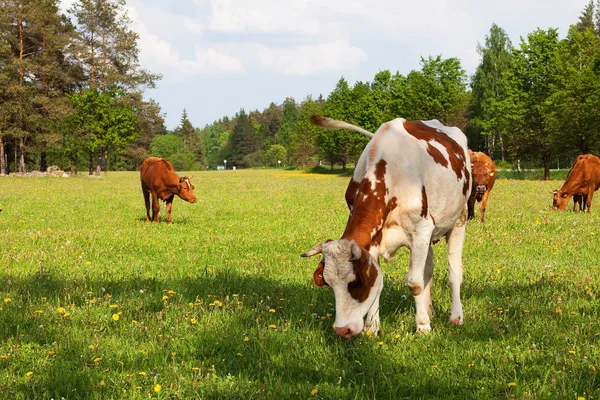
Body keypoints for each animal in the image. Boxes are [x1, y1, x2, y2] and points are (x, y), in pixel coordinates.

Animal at [302, 115, 472, 338]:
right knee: (428, 270)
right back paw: (429, 310)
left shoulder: (421, 229)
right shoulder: (373, 240)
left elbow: (414, 282)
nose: (342, 330)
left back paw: (456, 316)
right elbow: (382, 282)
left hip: (458, 220)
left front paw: (422, 326)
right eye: (329, 284)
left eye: (355, 283)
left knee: (454, 271)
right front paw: (372, 327)